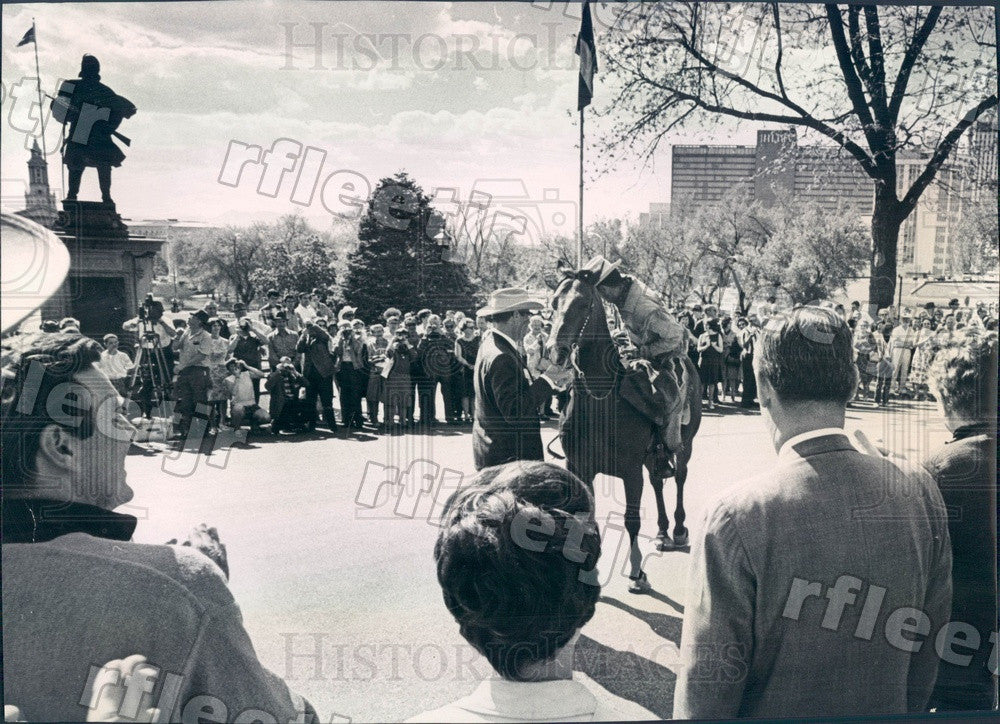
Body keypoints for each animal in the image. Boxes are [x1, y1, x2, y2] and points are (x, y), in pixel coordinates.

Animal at [548, 268, 704, 592]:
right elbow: (585, 517)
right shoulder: (580, 467)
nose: (556, 352)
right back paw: (662, 532)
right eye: (554, 302)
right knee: (657, 481)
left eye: (583, 304)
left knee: (679, 477)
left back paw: (678, 529)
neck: (600, 402)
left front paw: (637, 573)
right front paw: (589, 569)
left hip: (684, 444)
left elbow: (632, 519)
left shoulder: (630, 471)